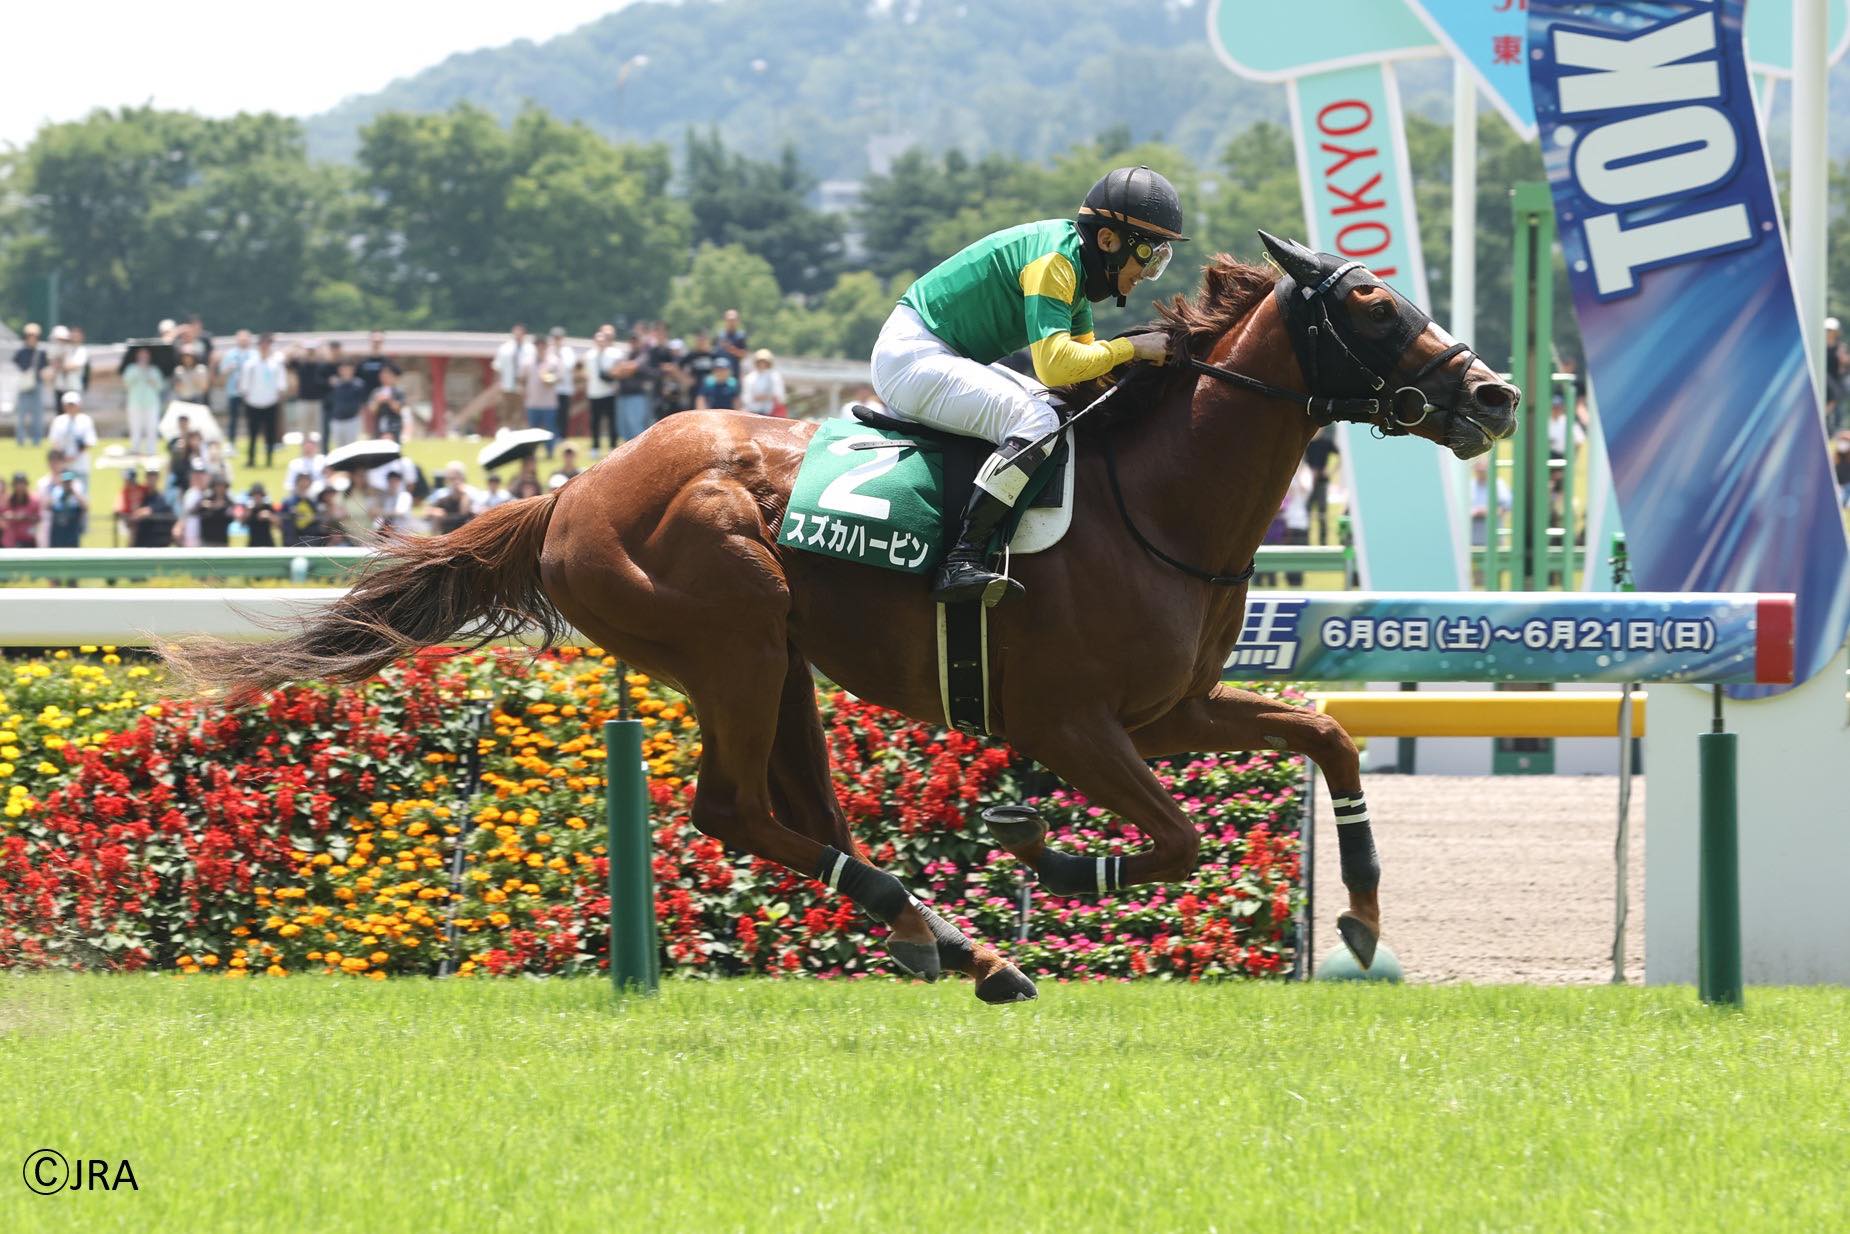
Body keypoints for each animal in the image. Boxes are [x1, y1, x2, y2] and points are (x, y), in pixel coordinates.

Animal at [167, 232, 1519, 1003]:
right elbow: (1179, 838)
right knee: (731, 809)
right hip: (731, 629)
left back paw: (951, 943)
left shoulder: (1170, 707)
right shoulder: (1078, 723)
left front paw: (1358, 915)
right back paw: (952, 938)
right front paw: (1048, 852)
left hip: (782, 663)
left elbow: (1324, 732)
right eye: (1375, 306)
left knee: (797, 807)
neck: (1154, 501)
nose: (1497, 394)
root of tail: (573, 489)